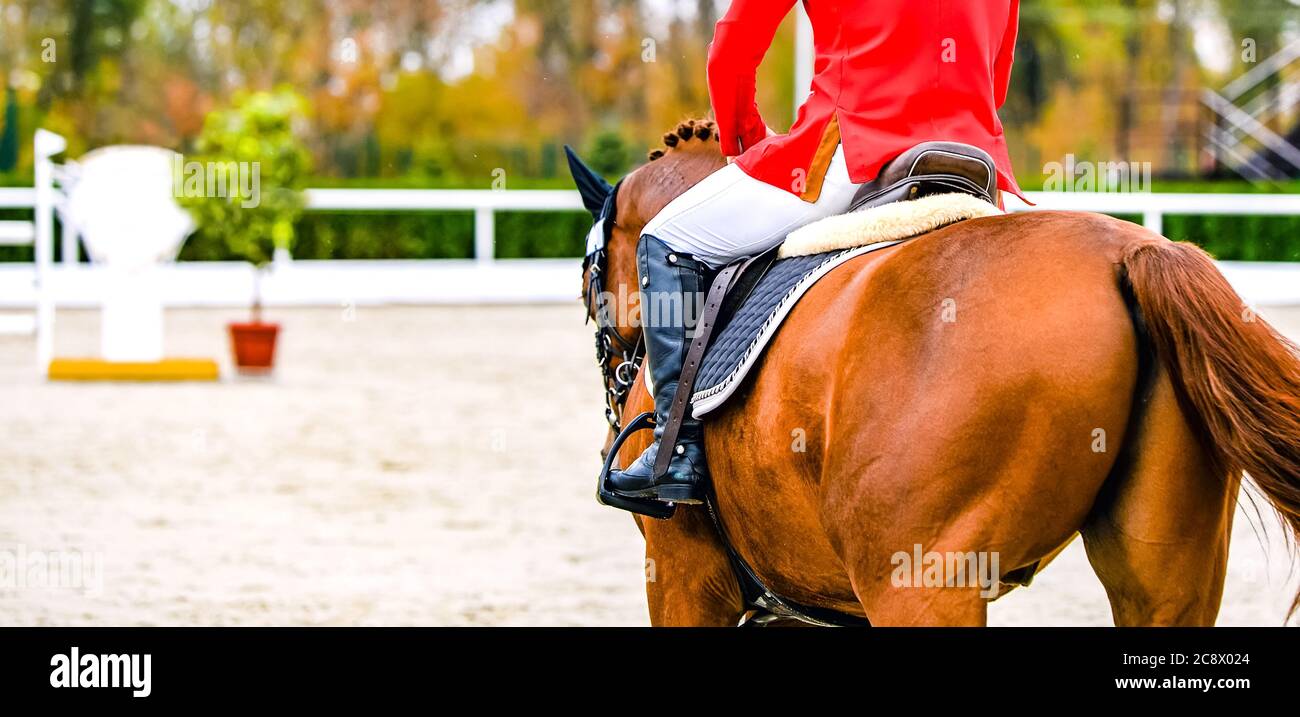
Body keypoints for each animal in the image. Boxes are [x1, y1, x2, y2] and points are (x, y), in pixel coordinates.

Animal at [571, 119, 1300, 626]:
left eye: (588, 274)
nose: (614, 414)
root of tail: (1132, 252)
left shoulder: (681, 573)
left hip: (920, 583)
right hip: (1168, 572)